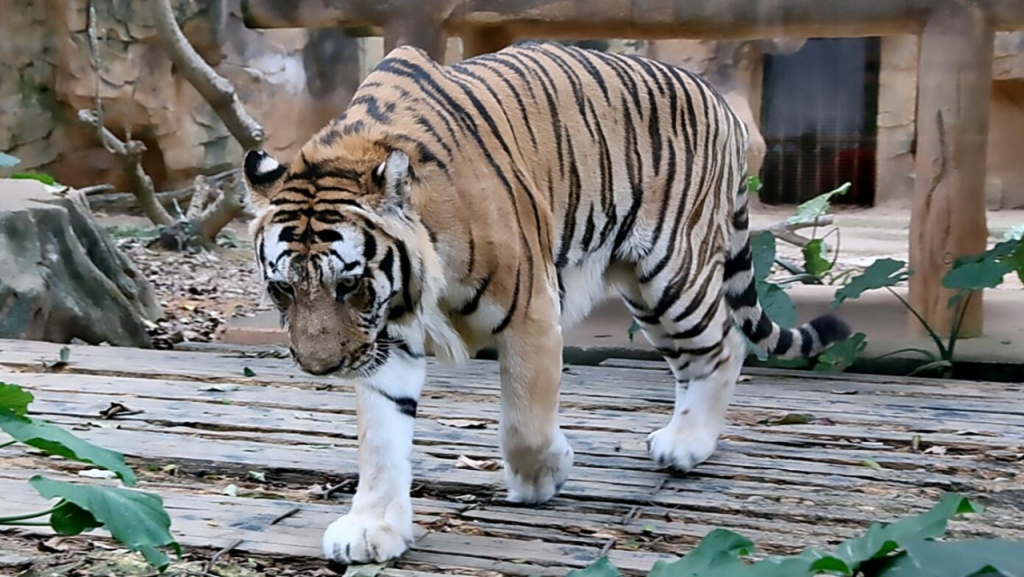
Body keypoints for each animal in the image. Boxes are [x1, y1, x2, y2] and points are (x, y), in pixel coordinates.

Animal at [239, 41, 847, 569]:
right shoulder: (388, 339)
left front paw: (542, 478)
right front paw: (373, 527)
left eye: (350, 286)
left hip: (672, 274)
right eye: (284, 289)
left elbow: (524, 423)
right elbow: (381, 440)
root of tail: (721, 103)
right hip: (643, 288)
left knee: (724, 344)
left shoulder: (530, 311)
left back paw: (687, 446)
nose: (321, 368)